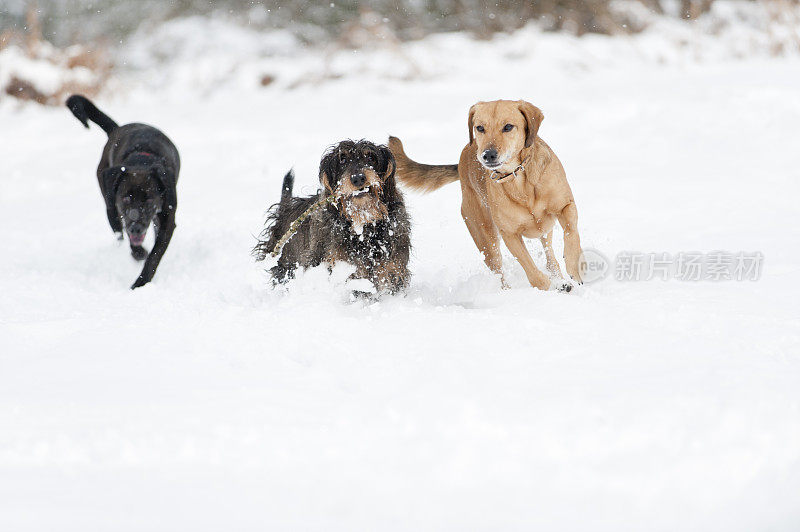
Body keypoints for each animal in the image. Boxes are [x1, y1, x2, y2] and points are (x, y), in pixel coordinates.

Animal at [66, 93, 180, 288]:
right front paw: (138, 254)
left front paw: (141, 282)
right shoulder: (122, 210)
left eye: (149, 200)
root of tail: (116, 129)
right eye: (126, 198)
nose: (136, 228)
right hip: (109, 204)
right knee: (118, 230)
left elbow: (155, 254)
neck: (142, 160)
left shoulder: (167, 217)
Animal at [252, 139, 412, 298]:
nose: (358, 178)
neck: (362, 224)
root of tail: (284, 212)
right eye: (342, 159)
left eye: (371, 157)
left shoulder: (393, 268)